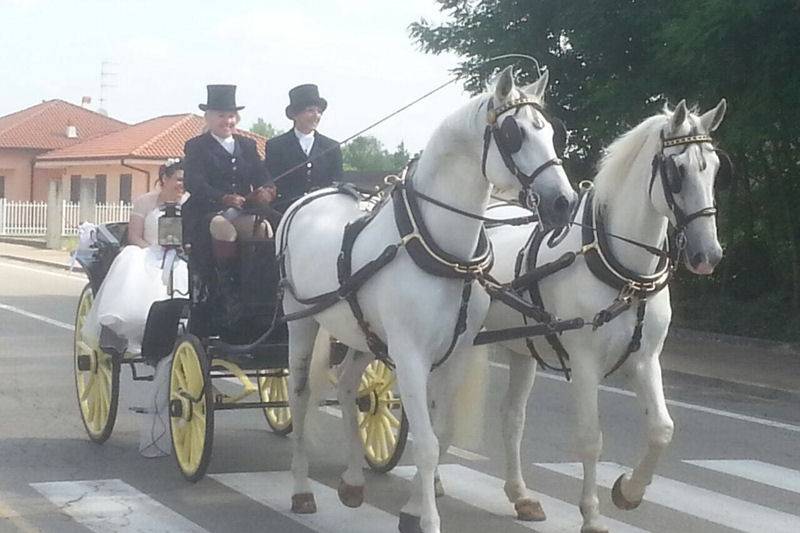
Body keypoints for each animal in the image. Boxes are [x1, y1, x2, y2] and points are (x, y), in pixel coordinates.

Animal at [276, 67, 576, 532]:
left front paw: (414, 507)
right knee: (301, 396)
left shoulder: (455, 352)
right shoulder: (410, 355)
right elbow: (428, 443)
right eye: (514, 134)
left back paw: (353, 481)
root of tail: (309, 198)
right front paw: (427, 518)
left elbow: (440, 431)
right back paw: (302, 489)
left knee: (347, 389)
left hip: (363, 335)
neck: (443, 250)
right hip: (302, 321)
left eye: (551, 131)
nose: (564, 203)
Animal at [440, 97, 728, 528]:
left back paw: (520, 494)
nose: (707, 254)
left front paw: (628, 491)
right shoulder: (585, 362)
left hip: (522, 348)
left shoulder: (645, 360)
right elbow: (591, 439)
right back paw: (433, 479)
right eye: (676, 171)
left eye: (713, 167)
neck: (626, 272)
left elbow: (662, 429)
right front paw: (592, 515)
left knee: (512, 418)